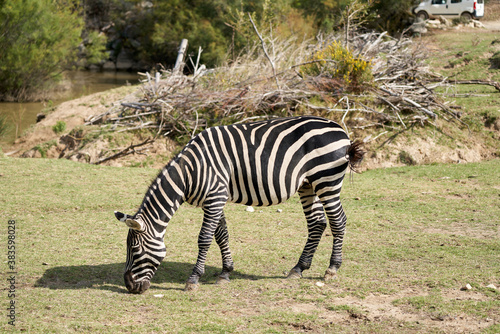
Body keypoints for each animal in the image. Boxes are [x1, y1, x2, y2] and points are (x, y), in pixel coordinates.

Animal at [114, 116, 364, 294]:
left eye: (134, 250)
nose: (129, 287)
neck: (189, 173)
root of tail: (340, 129)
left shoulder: (214, 197)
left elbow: (204, 238)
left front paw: (193, 279)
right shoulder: (214, 200)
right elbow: (221, 235)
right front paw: (225, 273)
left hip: (327, 180)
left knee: (338, 221)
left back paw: (332, 269)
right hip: (308, 184)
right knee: (317, 224)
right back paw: (298, 268)